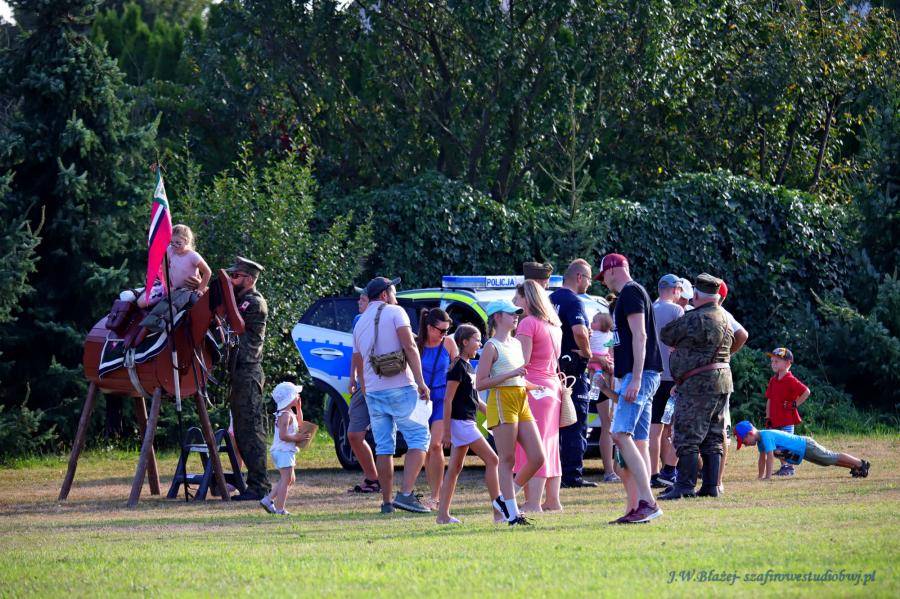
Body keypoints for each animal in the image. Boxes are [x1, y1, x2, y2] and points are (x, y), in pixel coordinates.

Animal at [59, 269, 245, 507]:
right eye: (227, 296)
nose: (240, 326)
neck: (186, 338)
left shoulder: (194, 392)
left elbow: (211, 442)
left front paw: (223, 492)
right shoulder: (158, 390)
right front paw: (132, 500)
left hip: (134, 392)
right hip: (94, 385)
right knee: (78, 445)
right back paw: (63, 494)